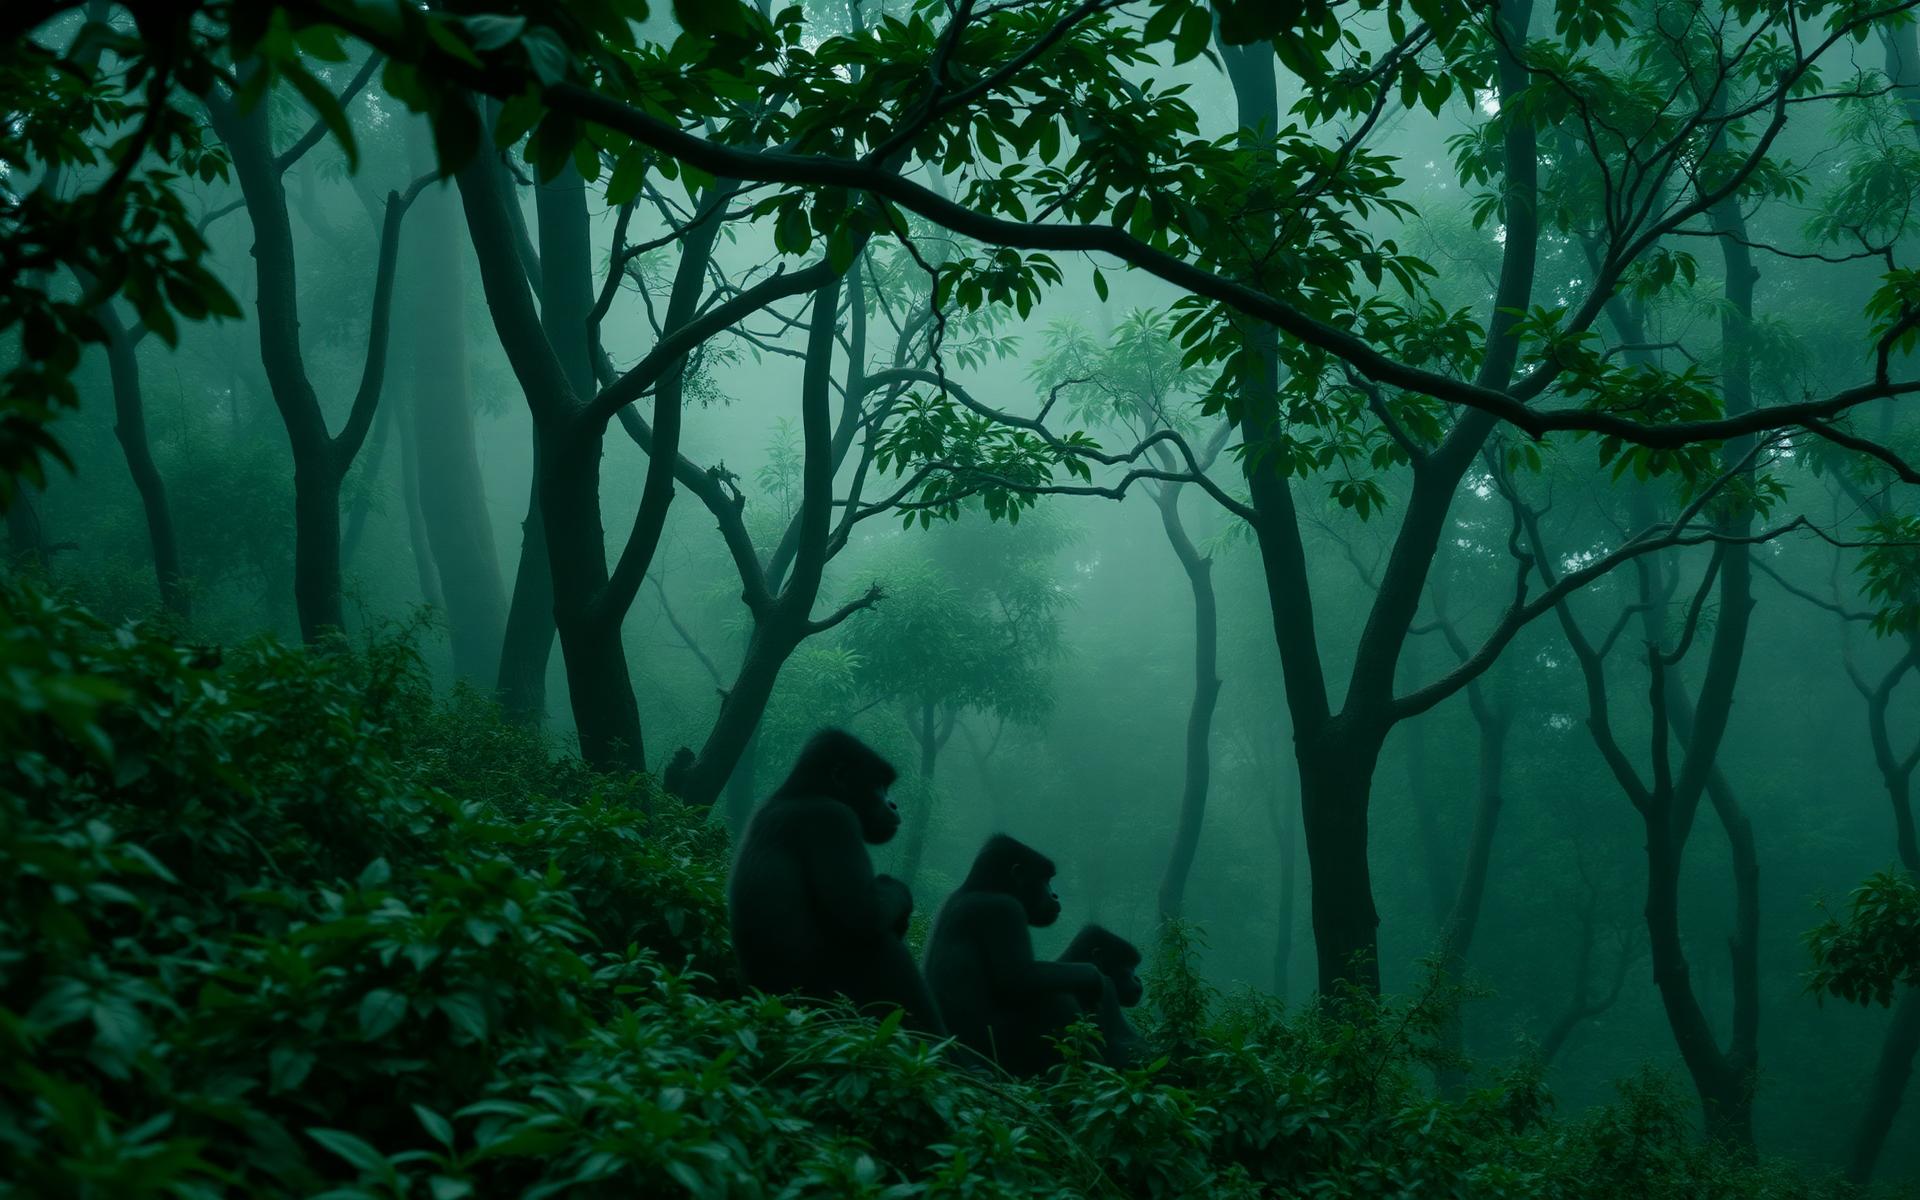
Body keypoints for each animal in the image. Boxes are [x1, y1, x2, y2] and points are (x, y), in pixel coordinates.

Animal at [727, 729, 945, 1034]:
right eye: (878, 784)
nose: (893, 804)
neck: (802, 792)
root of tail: (760, 999)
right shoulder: (833, 820)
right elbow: (862, 915)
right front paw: (899, 892)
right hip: (819, 1007)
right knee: (881, 945)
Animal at [923, 834, 1105, 1075]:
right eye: (1045, 879)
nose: (1055, 895)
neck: (982, 886)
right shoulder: (1006, 910)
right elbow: (1019, 978)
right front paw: (1093, 977)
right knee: (1054, 997)